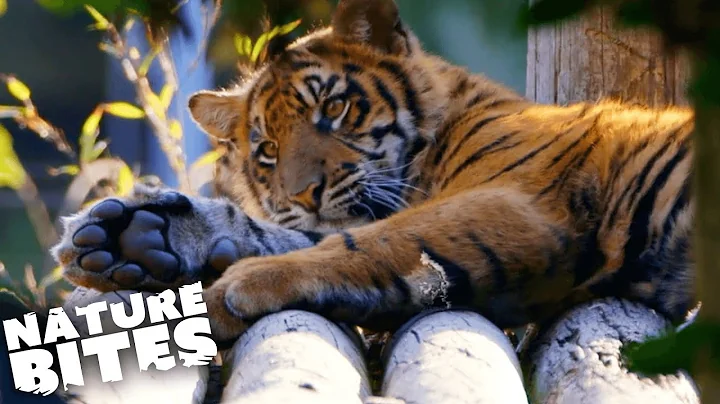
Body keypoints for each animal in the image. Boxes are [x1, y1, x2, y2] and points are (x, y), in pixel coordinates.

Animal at [51, 0, 695, 344]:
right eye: (267, 150)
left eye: (334, 108)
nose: (304, 194)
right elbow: (305, 234)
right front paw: (132, 238)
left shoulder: (516, 201)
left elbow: (371, 240)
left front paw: (230, 287)